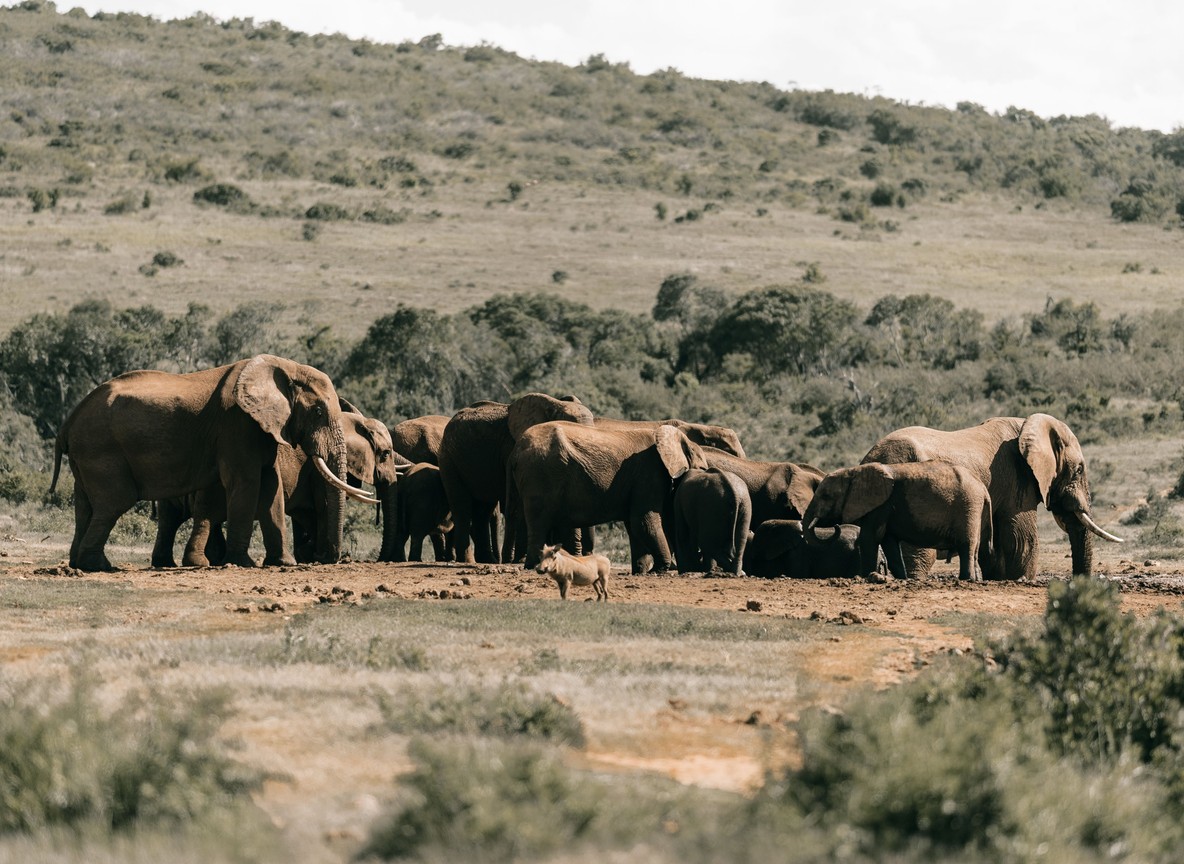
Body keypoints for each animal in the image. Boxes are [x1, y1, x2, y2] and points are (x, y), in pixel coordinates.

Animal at [51, 354, 353, 572]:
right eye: (318, 411)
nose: (326, 557)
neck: (285, 368)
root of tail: (67, 424)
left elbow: (271, 484)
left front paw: (282, 564)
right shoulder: (237, 425)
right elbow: (246, 482)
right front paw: (242, 563)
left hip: (85, 456)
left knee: (86, 506)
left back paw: (79, 564)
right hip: (101, 450)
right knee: (113, 504)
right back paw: (99, 566)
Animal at [438, 394, 595, 564]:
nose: (586, 554)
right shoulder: (512, 448)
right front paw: (521, 559)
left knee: (483, 510)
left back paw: (488, 560)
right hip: (449, 459)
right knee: (462, 507)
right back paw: (469, 560)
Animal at [508, 421, 709, 574]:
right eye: (702, 469)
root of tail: (516, 450)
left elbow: (633, 525)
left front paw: (640, 571)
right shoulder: (650, 474)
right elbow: (643, 521)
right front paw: (659, 570)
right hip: (540, 474)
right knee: (539, 520)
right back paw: (534, 566)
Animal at [803, 462, 994, 582]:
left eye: (826, 496)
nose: (836, 526)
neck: (853, 472)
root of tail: (983, 489)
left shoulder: (879, 506)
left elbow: (870, 538)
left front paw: (864, 577)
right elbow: (889, 542)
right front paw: (902, 579)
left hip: (968, 505)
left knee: (966, 546)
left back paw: (965, 580)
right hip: (973, 508)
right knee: (974, 548)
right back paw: (973, 580)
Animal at [861, 413, 1123, 580]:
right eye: (1079, 470)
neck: (1027, 424)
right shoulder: (1017, 480)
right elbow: (1021, 540)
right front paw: (1019, 580)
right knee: (919, 554)